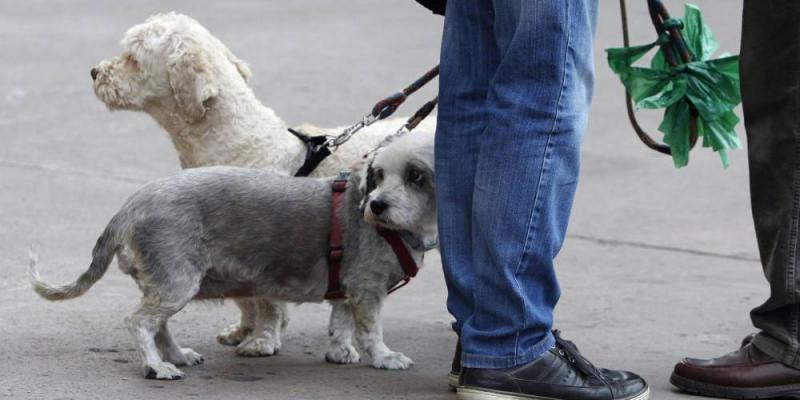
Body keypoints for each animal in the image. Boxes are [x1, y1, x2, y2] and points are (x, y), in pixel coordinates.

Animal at [28, 130, 438, 378]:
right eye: (379, 175)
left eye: (416, 176)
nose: (377, 205)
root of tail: (131, 205)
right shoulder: (367, 289)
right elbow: (370, 329)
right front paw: (384, 357)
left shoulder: (348, 287)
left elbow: (341, 322)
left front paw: (340, 351)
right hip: (177, 280)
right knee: (140, 322)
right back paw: (157, 367)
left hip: (166, 282)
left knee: (159, 324)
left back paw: (175, 355)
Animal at [92, 11, 438, 356]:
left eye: (132, 58)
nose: (94, 72)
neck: (243, 144)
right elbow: (246, 299)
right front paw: (242, 331)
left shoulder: (263, 251)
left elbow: (267, 302)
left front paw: (262, 339)